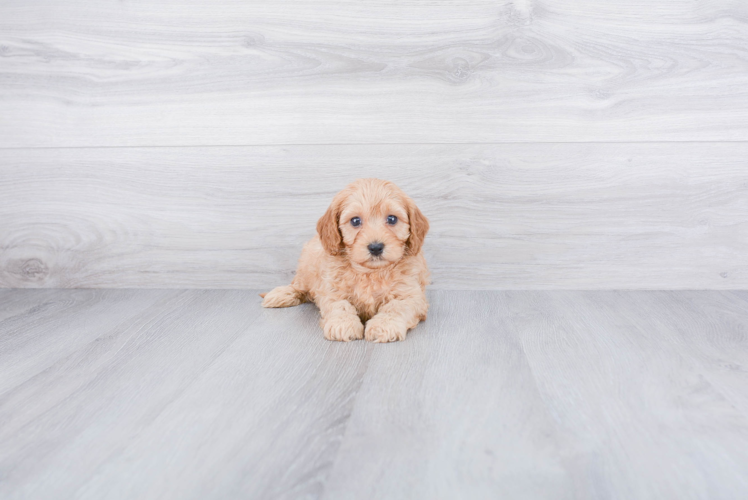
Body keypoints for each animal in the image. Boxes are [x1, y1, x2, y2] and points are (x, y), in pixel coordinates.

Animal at [262, 177, 430, 344]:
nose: (375, 247)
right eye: (355, 221)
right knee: (299, 286)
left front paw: (384, 325)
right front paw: (343, 324)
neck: (370, 272)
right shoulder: (331, 290)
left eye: (392, 219)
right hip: (306, 266)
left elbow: (396, 306)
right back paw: (281, 294)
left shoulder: (411, 294)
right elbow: (340, 305)